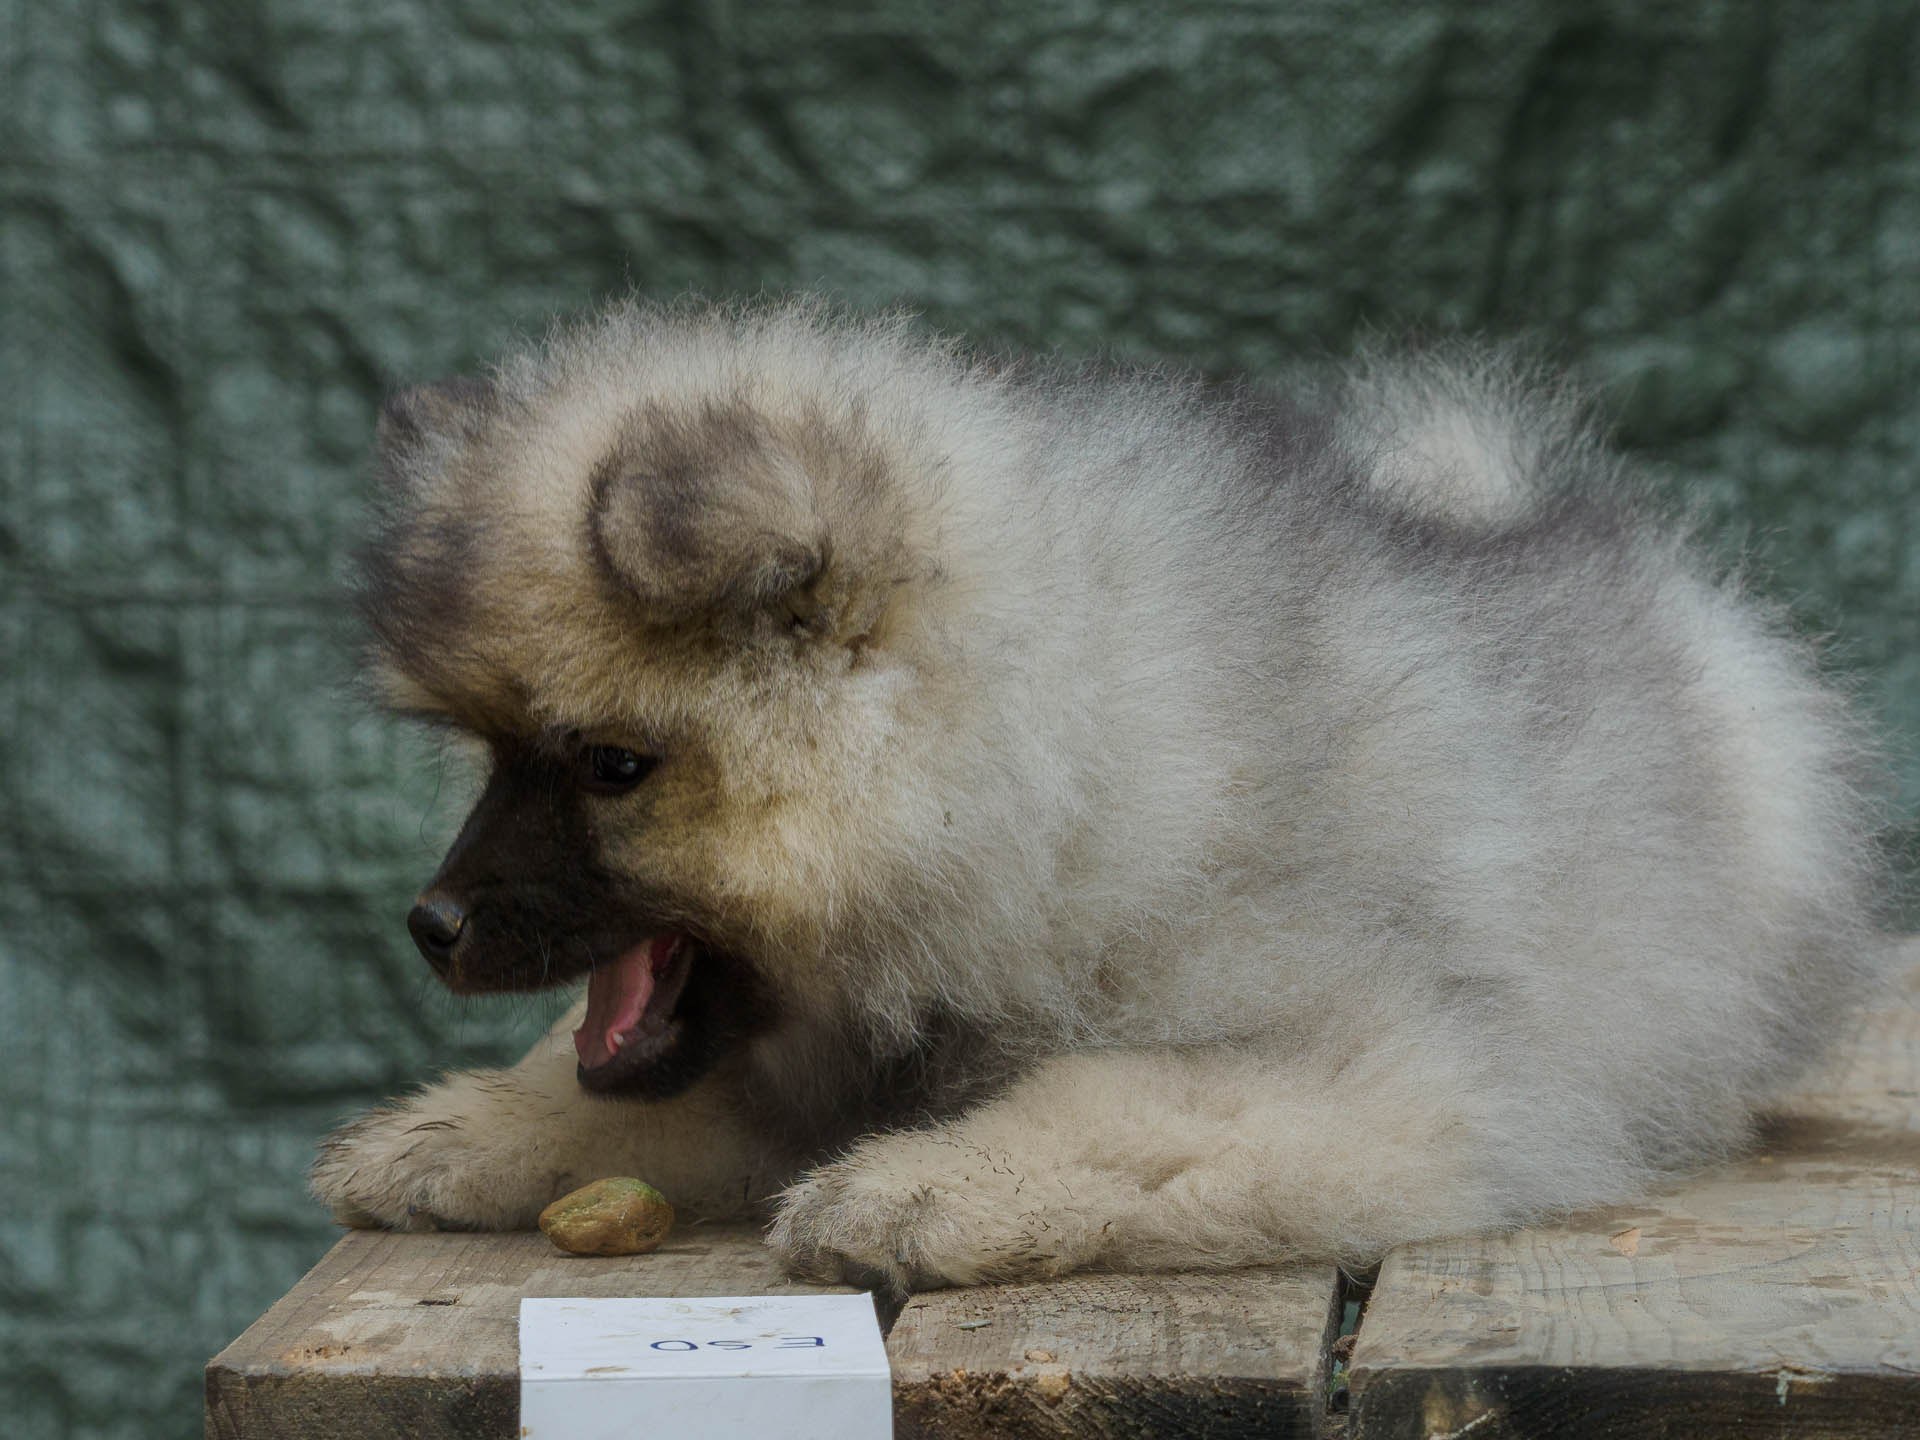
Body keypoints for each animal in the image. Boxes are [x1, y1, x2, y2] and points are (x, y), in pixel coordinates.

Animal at [307, 295, 1881, 1297]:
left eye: (613, 767)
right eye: (491, 752)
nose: (431, 926)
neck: (1046, 768)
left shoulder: (1368, 1066)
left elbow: (1107, 1104)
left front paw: (918, 1190)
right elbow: (641, 1100)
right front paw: (461, 1132)